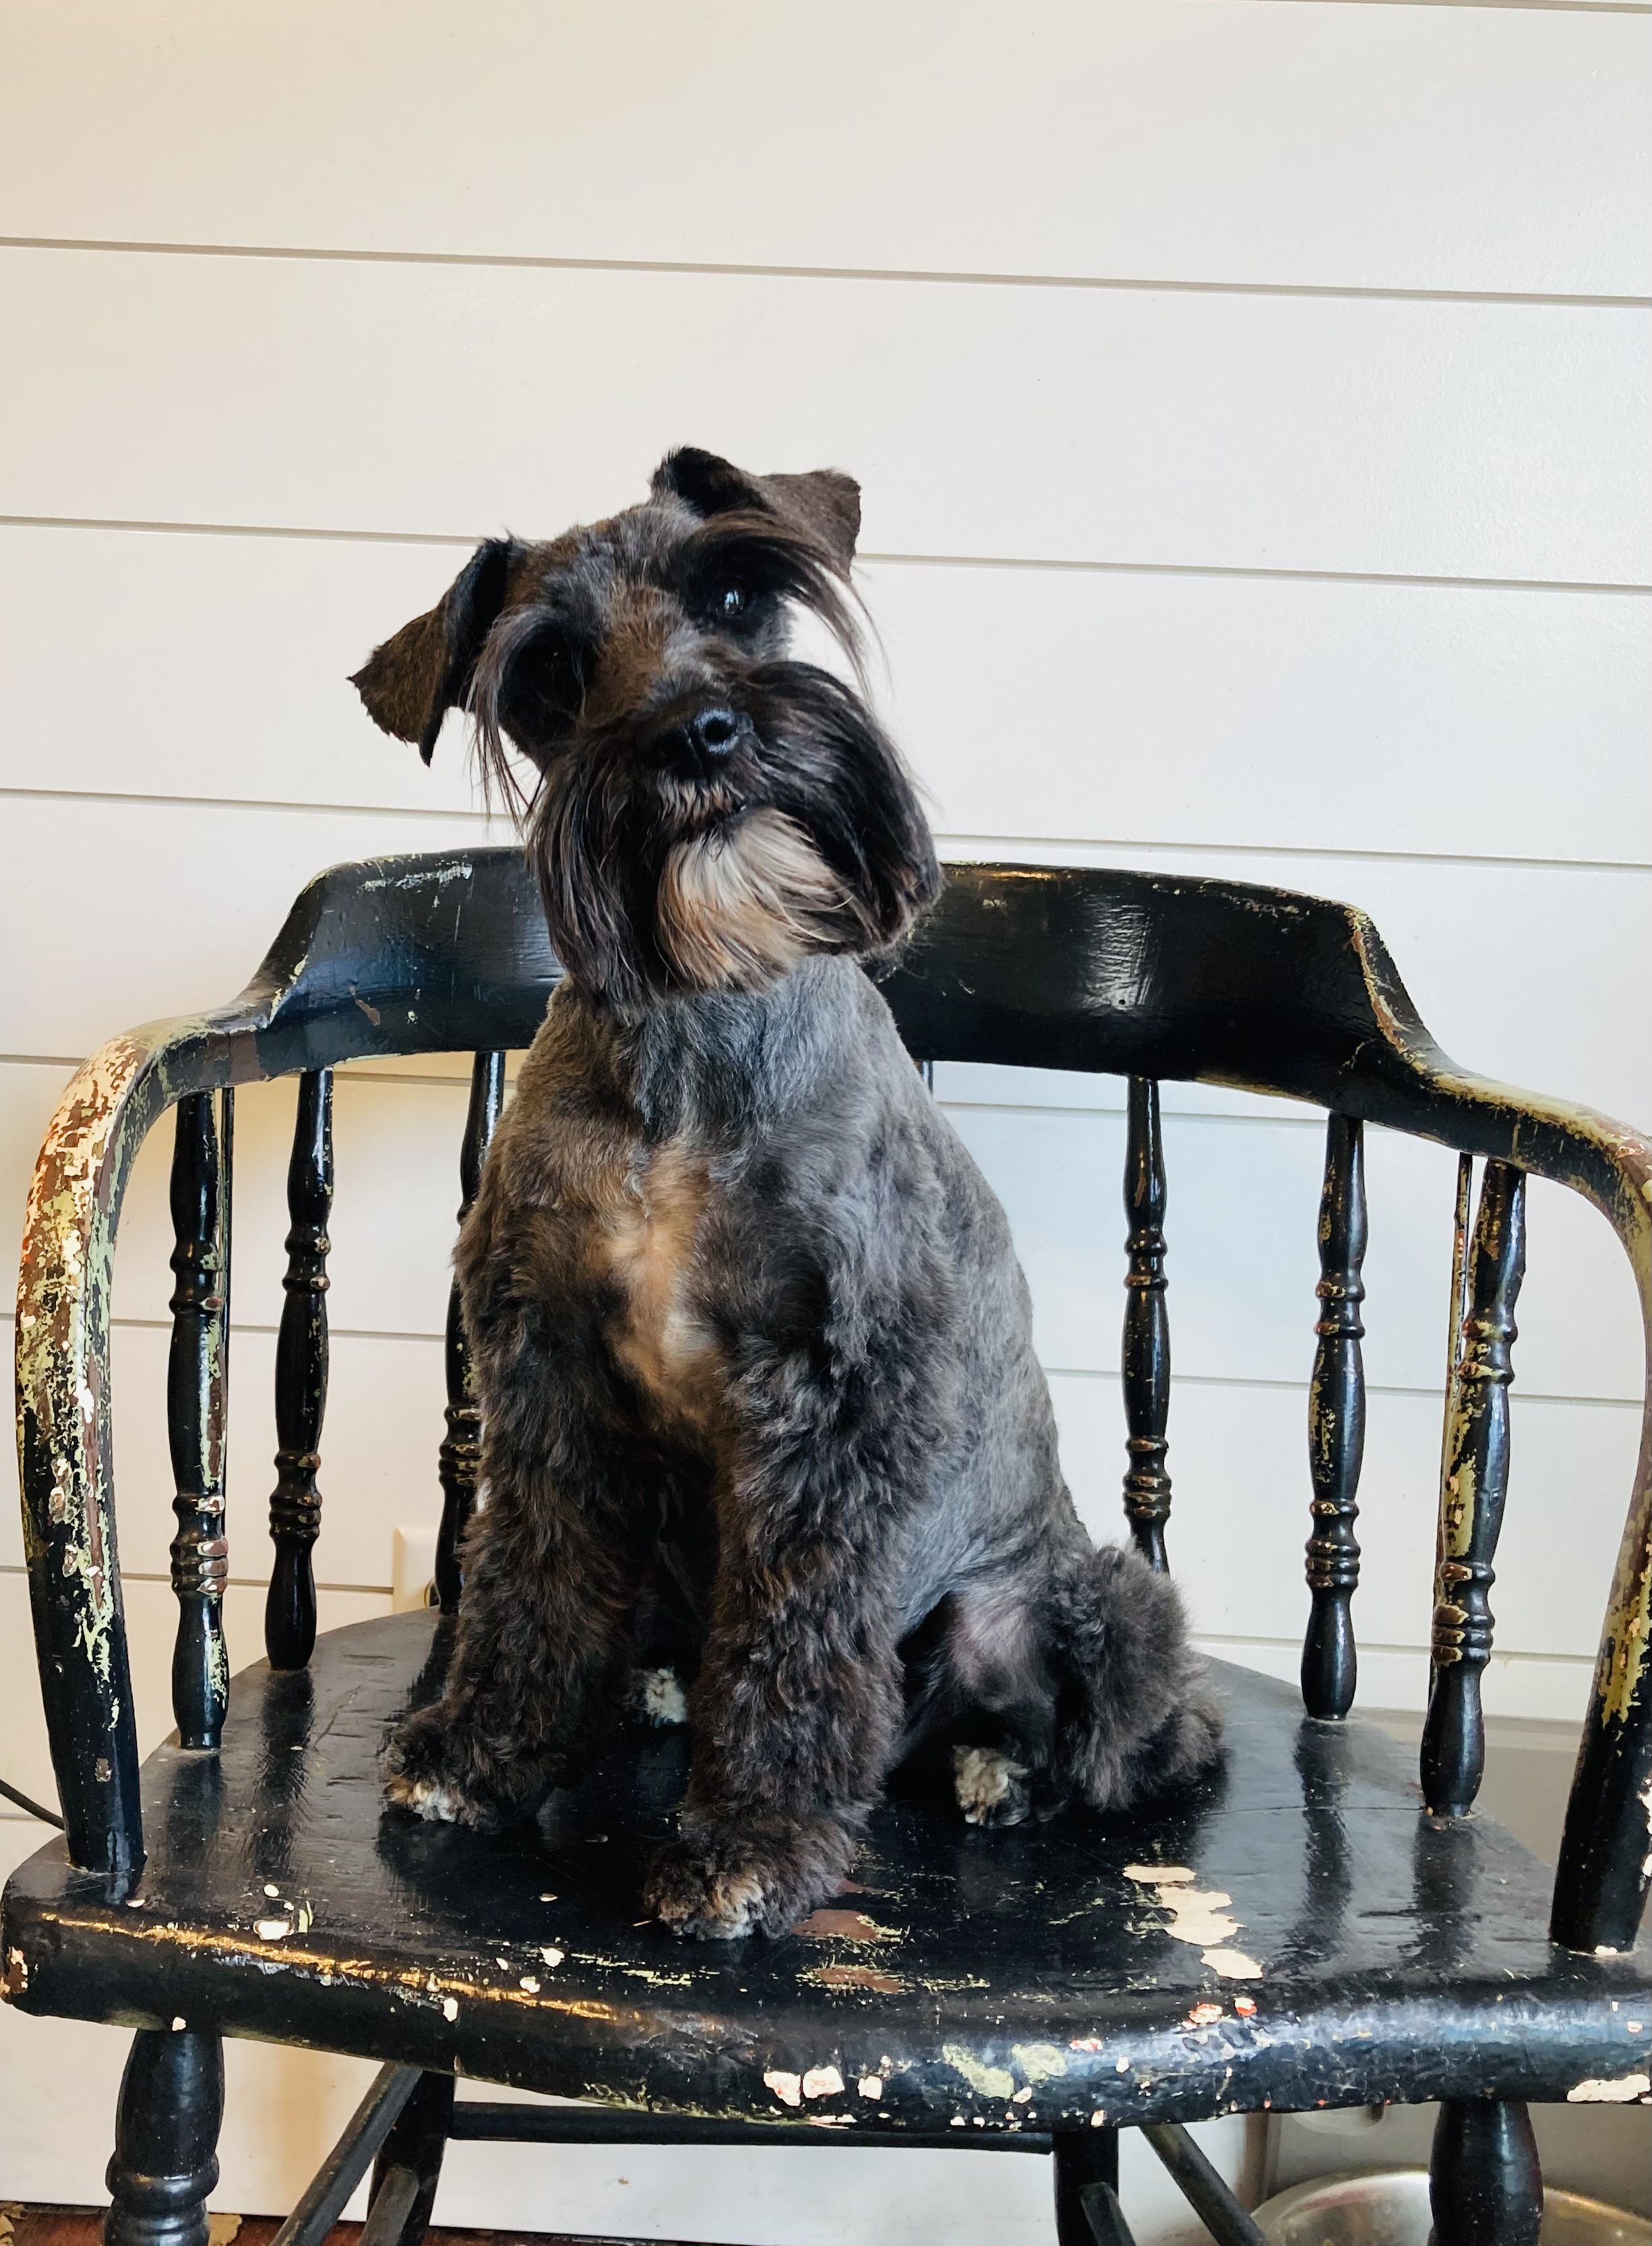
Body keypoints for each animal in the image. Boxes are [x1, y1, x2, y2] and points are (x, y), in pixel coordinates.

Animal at [352, 447, 1221, 1938]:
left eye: (736, 595)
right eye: (550, 671)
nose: (698, 733)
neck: (696, 1040)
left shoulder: (836, 1398)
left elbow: (794, 1633)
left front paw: (749, 1841)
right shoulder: (547, 1371)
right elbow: (527, 1577)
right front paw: (481, 1750)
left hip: (1100, 1608)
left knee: (1139, 1741)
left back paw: (1008, 1770)